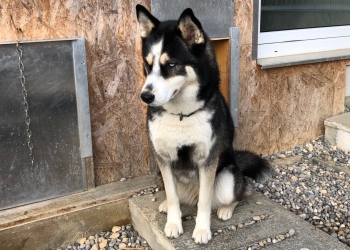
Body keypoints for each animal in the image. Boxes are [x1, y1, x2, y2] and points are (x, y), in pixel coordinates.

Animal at [135, 4, 272, 244]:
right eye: (148, 65)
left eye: (171, 65)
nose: (146, 97)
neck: (181, 114)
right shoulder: (163, 159)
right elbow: (172, 196)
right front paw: (173, 223)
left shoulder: (208, 160)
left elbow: (204, 201)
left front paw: (201, 230)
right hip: (159, 175)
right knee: (176, 196)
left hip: (227, 178)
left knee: (241, 193)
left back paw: (226, 209)